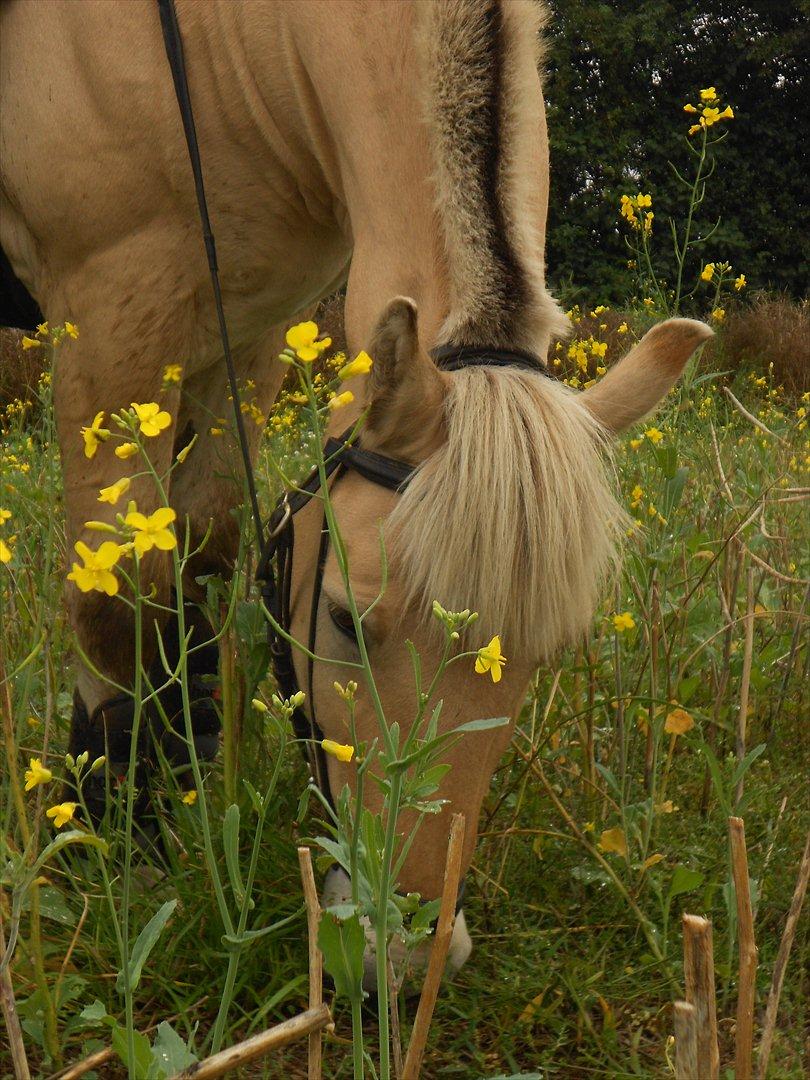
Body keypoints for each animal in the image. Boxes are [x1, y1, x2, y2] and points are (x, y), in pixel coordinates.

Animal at [0, 0, 710, 983]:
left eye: (543, 654)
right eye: (342, 618)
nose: (403, 951)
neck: (218, 40)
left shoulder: (249, 327)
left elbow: (200, 551)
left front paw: (191, 773)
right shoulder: (111, 317)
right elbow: (115, 596)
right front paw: (121, 837)